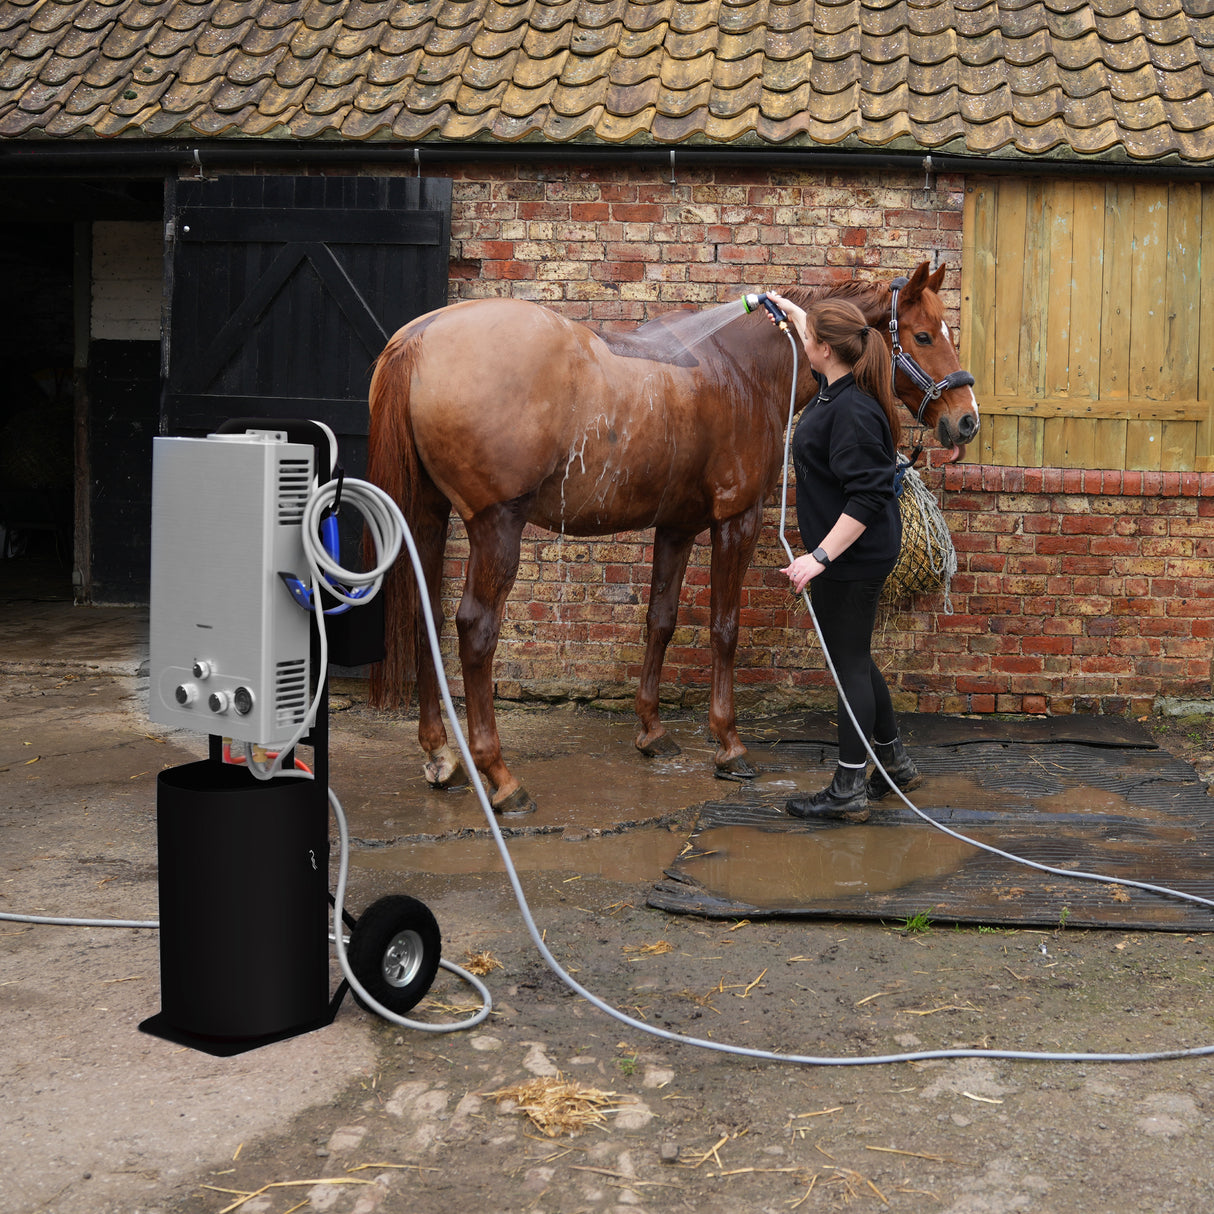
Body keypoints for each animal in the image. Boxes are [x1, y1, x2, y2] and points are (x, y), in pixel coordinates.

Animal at [366, 260, 979, 813]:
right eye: (923, 335)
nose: (966, 419)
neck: (743, 365)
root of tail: (418, 339)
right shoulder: (737, 519)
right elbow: (724, 629)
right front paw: (729, 746)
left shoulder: (677, 526)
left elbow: (660, 620)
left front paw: (653, 733)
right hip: (496, 527)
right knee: (475, 630)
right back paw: (500, 776)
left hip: (428, 517)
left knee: (426, 615)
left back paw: (440, 755)